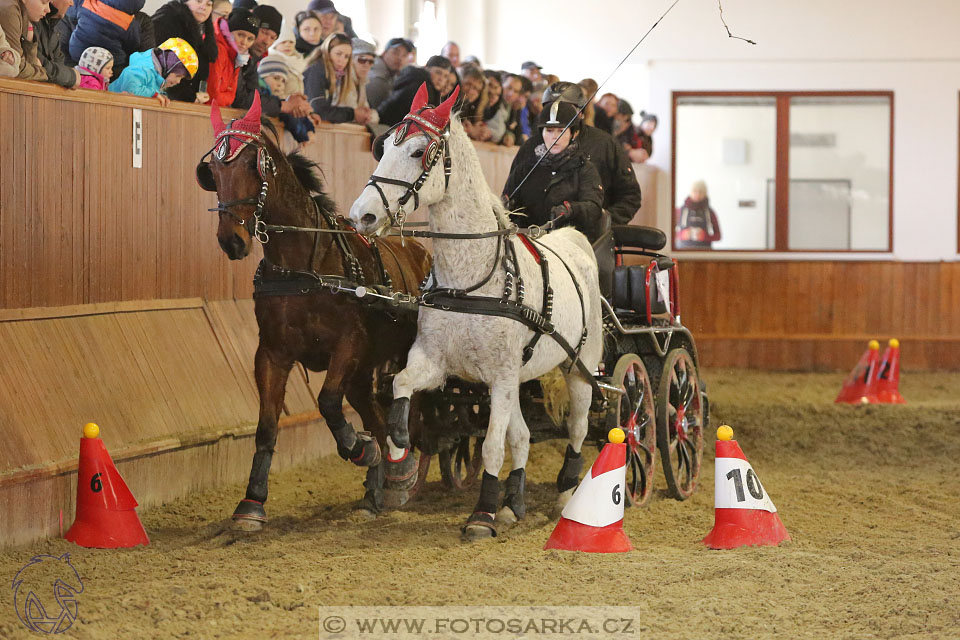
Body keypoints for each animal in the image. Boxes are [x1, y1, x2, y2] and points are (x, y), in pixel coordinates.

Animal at [197, 95, 430, 524]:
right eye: (214, 171)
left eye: (251, 164)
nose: (231, 240)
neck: (305, 268)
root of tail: (421, 251)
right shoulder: (272, 353)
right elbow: (267, 426)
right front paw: (251, 502)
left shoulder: (349, 345)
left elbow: (327, 401)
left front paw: (361, 448)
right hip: (363, 372)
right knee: (375, 414)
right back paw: (376, 490)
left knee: (412, 413)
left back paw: (404, 470)